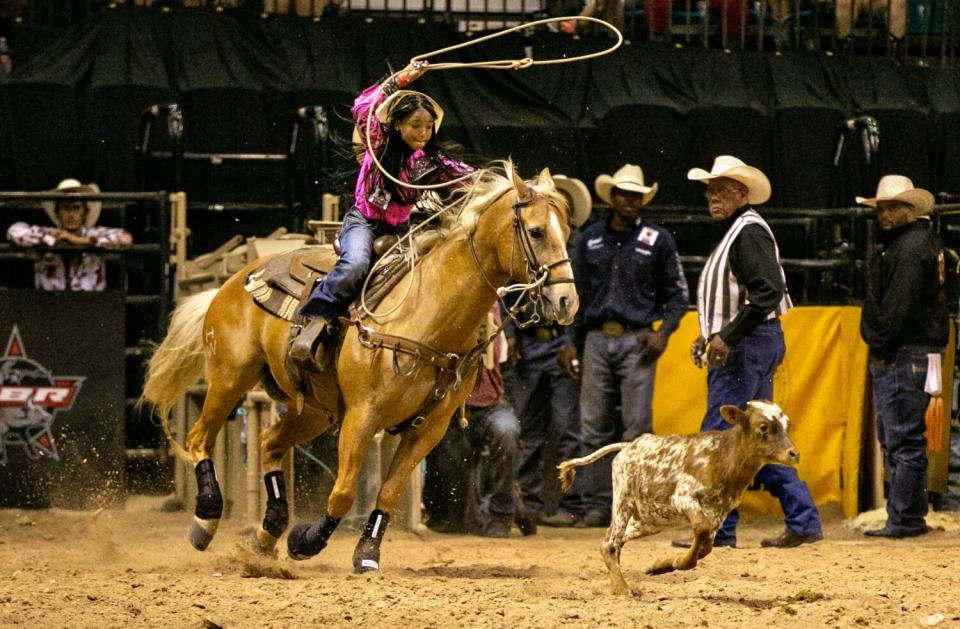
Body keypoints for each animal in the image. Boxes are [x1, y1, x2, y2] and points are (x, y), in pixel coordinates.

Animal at [142, 163, 576, 576]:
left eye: (567, 230)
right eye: (536, 232)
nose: (567, 301)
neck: (428, 313)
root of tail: (234, 281)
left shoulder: (428, 428)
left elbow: (387, 493)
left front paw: (366, 553)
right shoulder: (363, 415)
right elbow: (344, 491)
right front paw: (306, 541)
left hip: (314, 412)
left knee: (268, 442)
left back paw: (266, 538)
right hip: (230, 378)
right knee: (199, 438)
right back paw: (206, 521)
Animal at [560, 400, 800, 596]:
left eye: (786, 425)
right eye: (763, 427)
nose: (794, 453)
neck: (722, 458)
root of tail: (628, 445)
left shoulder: (718, 516)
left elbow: (705, 547)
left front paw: (659, 566)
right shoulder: (684, 498)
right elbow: (700, 533)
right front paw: (676, 562)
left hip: (649, 520)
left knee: (611, 539)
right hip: (623, 500)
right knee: (610, 544)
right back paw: (622, 588)